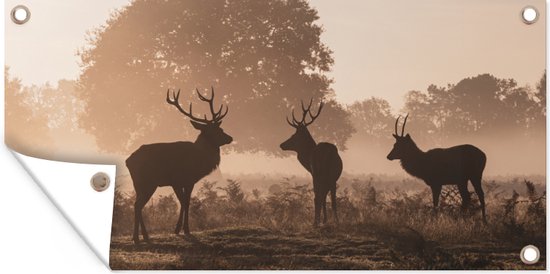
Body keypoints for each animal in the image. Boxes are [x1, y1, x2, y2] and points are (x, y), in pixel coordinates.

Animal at [126, 86, 233, 243]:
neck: (199, 160)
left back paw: (143, 236)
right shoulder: (181, 179)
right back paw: (138, 237)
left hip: (138, 184)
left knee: (136, 205)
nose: (230, 138)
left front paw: (177, 229)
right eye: (215, 130)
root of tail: (128, 161)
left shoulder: (185, 181)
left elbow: (184, 201)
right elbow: (185, 202)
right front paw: (185, 229)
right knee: (137, 205)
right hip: (147, 182)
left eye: (220, 128)